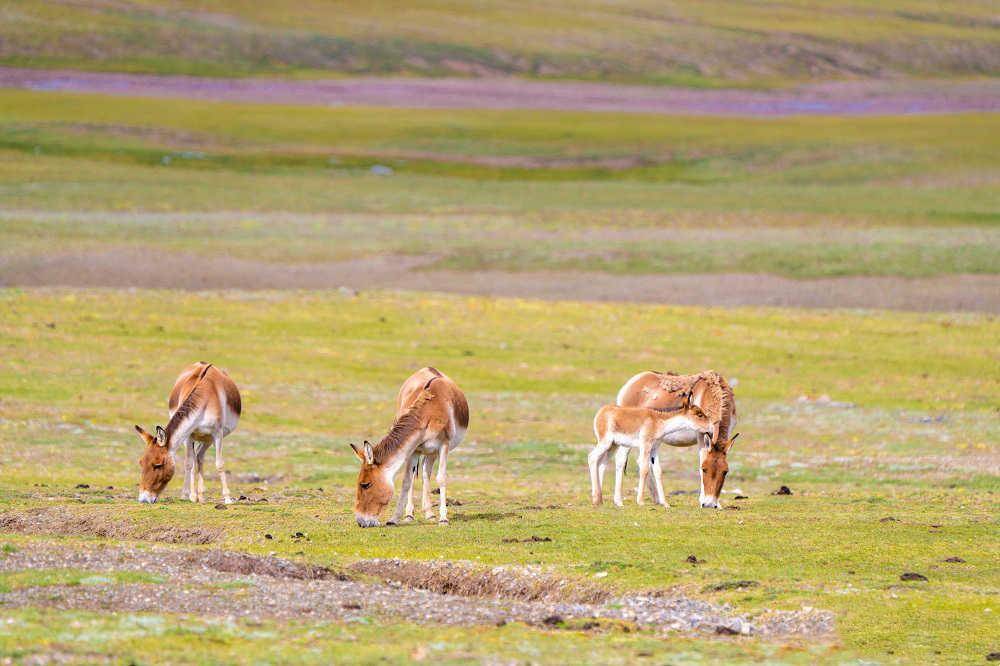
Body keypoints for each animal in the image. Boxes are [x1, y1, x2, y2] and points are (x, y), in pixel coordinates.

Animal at [133, 364, 242, 504]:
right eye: (141, 462)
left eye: (158, 465)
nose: (143, 499)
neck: (205, 398)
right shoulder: (189, 435)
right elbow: (189, 463)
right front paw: (187, 495)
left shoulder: (217, 434)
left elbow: (219, 464)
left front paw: (227, 498)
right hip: (198, 438)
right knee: (197, 457)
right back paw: (196, 496)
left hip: (208, 438)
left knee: (199, 456)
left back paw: (201, 496)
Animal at [352, 366, 468, 528]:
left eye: (365, 484)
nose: (361, 522)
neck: (428, 412)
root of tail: (427, 368)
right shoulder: (414, 449)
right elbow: (406, 481)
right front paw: (394, 518)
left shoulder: (443, 446)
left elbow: (441, 478)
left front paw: (443, 519)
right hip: (422, 452)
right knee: (418, 475)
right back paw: (411, 515)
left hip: (432, 452)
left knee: (426, 473)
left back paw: (430, 514)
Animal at [588, 394, 716, 508]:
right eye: (699, 414)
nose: (712, 429)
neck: (658, 421)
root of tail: (602, 411)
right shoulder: (646, 445)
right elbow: (644, 469)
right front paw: (640, 501)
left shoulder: (655, 448)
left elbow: (658, 471)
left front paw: (665, 503)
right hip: (605, 442)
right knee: (592, 457)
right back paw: (596, 499)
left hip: (613, 446)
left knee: (601, 464)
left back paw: (604, 500)